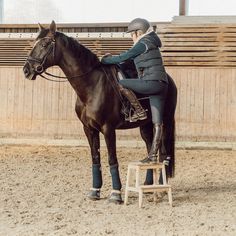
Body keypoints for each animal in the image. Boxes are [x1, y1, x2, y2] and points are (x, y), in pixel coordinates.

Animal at [23, 21, 177, 204]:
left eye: (45, 44)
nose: (26, 70)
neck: (91, 85)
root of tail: (169, 80)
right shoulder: (89, 129)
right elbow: (95, 158)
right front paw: (95, 191)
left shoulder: (108, 129)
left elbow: (112, 159)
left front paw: (116, 194)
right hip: (145, 126)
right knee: (150, 149)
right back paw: (147, 185)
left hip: (165, 122)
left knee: (163, 154)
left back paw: (160, 188)